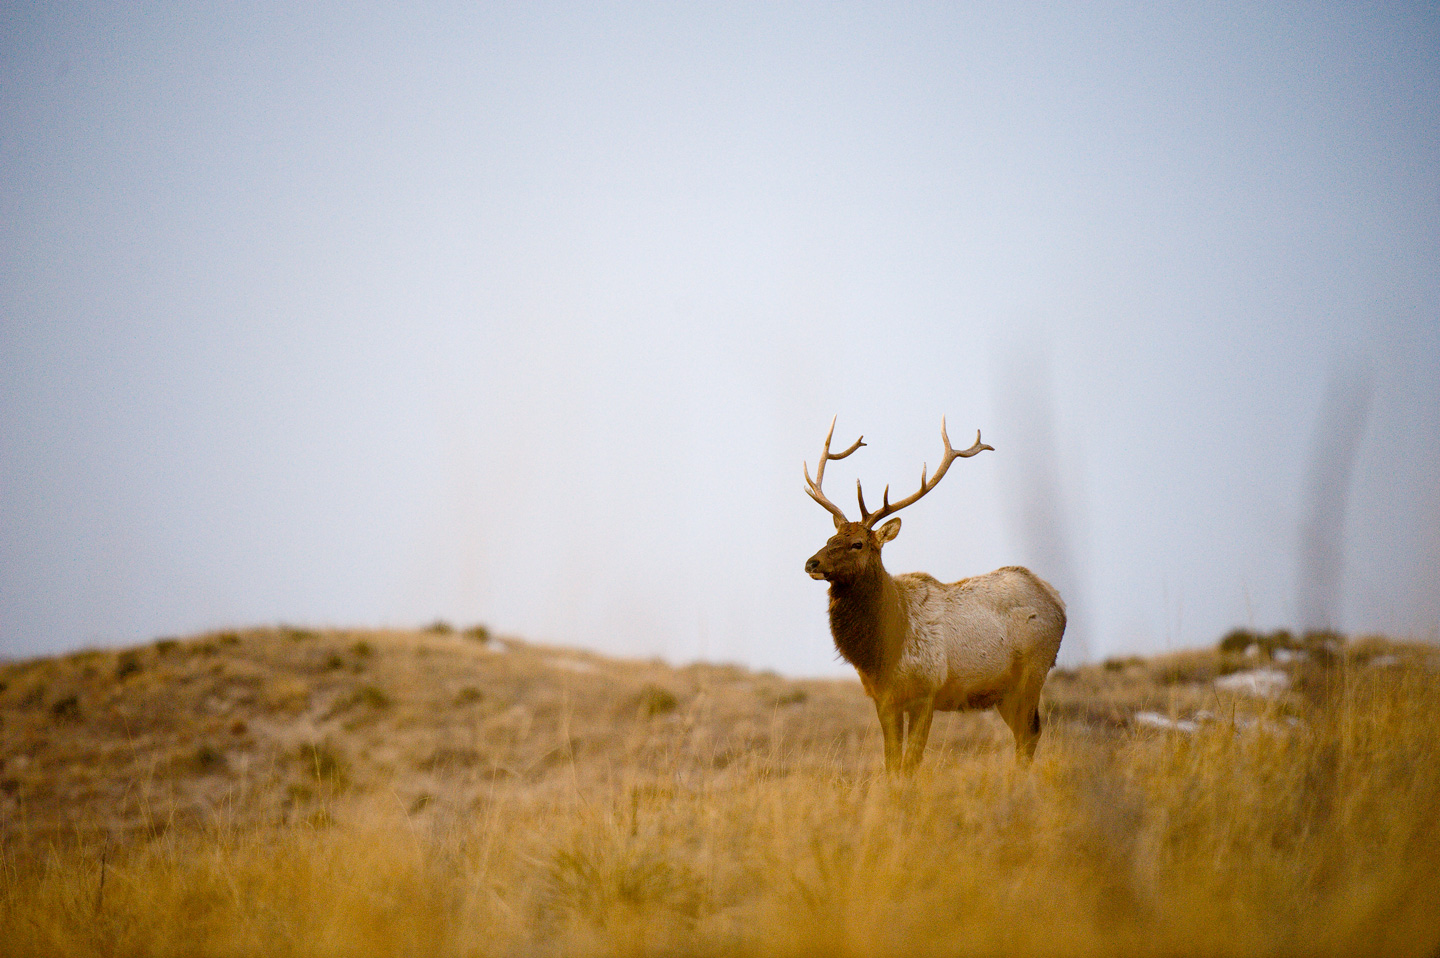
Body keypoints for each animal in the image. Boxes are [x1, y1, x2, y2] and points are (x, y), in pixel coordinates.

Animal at [806, 417, 1065, 772]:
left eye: (857, 544)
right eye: (830, 538)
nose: (811, 562)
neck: (881, 652)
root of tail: (1057, 600)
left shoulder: (926, 692)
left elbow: (910, 764)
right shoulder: (883, 699)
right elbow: (891, 764)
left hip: (1033, 673)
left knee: (1030, 733)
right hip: (1005, 691)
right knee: (1026, 735)